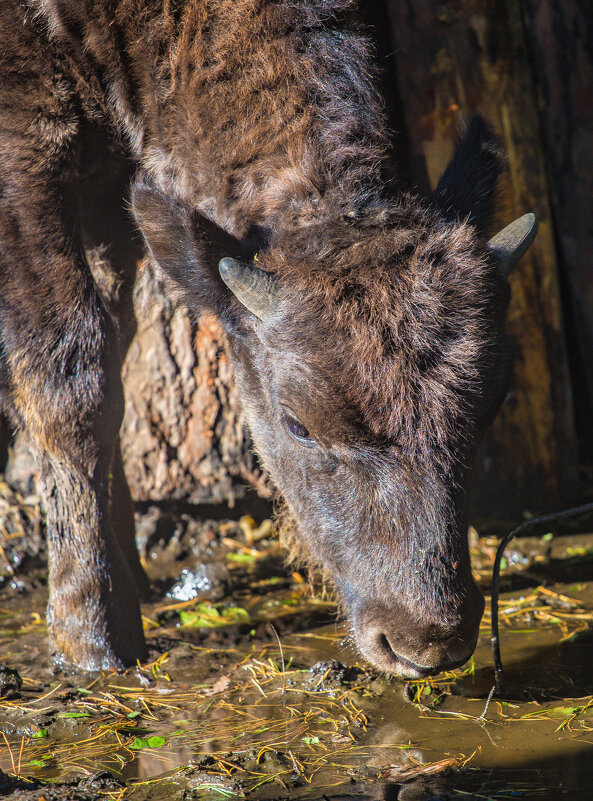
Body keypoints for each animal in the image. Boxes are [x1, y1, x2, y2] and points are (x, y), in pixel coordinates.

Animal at [0, 0, 536, 676]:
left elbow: (116, 348)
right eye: (298, 423)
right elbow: (71, 378)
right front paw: (92, 638)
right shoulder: (26, 145)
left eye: (492, 405)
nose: (427, 640)